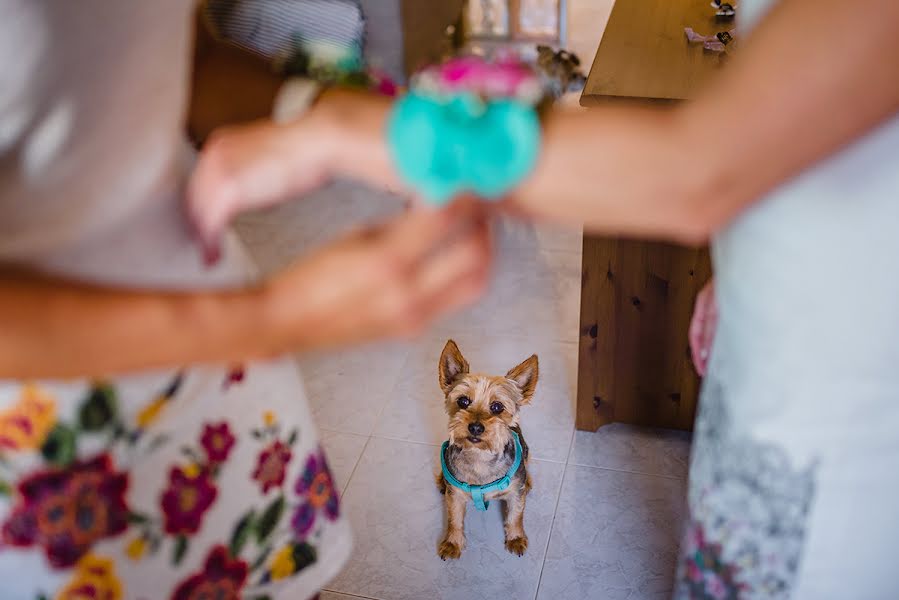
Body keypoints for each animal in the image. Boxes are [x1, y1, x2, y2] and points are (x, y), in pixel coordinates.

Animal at [434, 340, 536, 560]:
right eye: (463, 401)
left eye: (497, 407)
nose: (475, 427)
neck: (479, 455)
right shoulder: (455, 496)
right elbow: (454, 519)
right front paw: (452, 543)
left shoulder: (515, 493)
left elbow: (515, 515)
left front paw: (516, 538)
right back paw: (440, 480)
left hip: (526, 450)